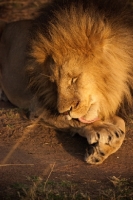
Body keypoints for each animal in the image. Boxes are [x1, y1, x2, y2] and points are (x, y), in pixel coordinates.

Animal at [0, 0, 133, 165]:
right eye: (54, 83)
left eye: (74, 79)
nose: (64, 111)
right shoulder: (37, 106)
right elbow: (77, 121)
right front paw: (102, 130)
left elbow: (120, 123)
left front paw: (99, 152)